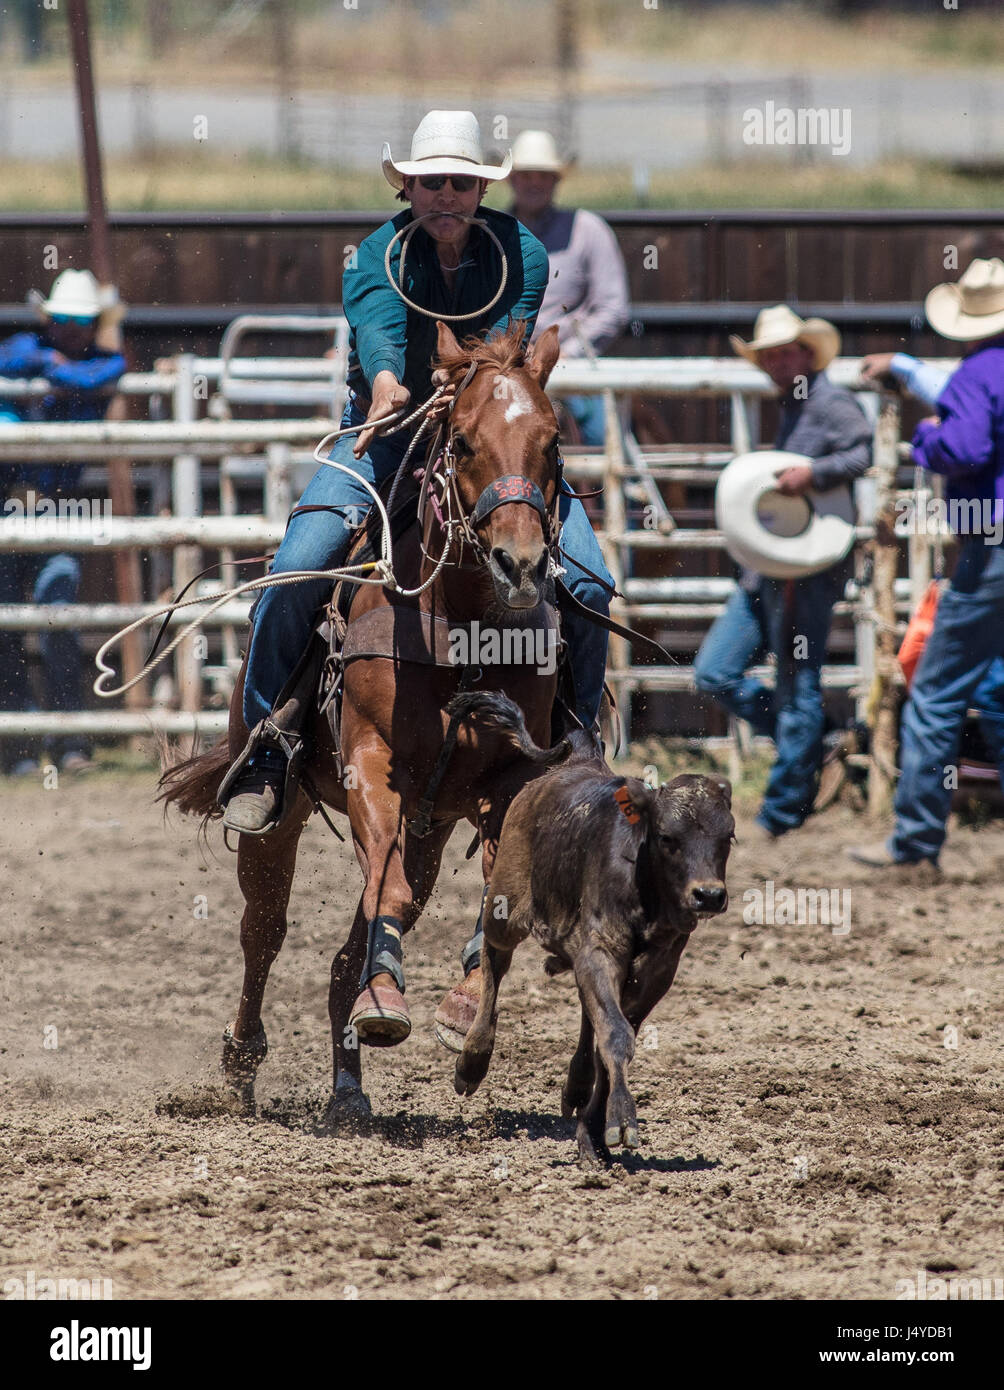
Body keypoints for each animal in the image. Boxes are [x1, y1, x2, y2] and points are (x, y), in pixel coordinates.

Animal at [157, 319, 561, 1123]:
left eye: (553, 440)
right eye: (462, 440)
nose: (521, 563)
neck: (460, 628)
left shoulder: (507, 781)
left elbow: (494, 900)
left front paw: (464, 1022)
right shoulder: (371, 765)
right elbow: (385, 892)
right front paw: (386, 1002)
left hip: (432, 826)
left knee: (355, 939)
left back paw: (349, 1088)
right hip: (282, 816)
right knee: (265, 931)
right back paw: (243, 1064)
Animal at [458, 728, 728, 1162]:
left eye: (728, 837)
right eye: (667, 837)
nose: (708, 895)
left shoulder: (656, 970)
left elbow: (611, 1034)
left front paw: (595, 1131)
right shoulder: (600, 950)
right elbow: (615, 1035)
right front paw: (621, 1121)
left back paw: (577, 1086)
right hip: (506, 907)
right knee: (494, 960)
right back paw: (472, 1059)